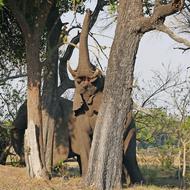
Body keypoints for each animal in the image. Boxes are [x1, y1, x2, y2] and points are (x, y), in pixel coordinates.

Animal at [67, 9, 143, 184]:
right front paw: (85, 179)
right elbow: (84, 141)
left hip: (131, 127)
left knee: (128, 154)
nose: (88, 10)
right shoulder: (79, 116)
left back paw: (138, 183)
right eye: (78, 81)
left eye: (95, 80)